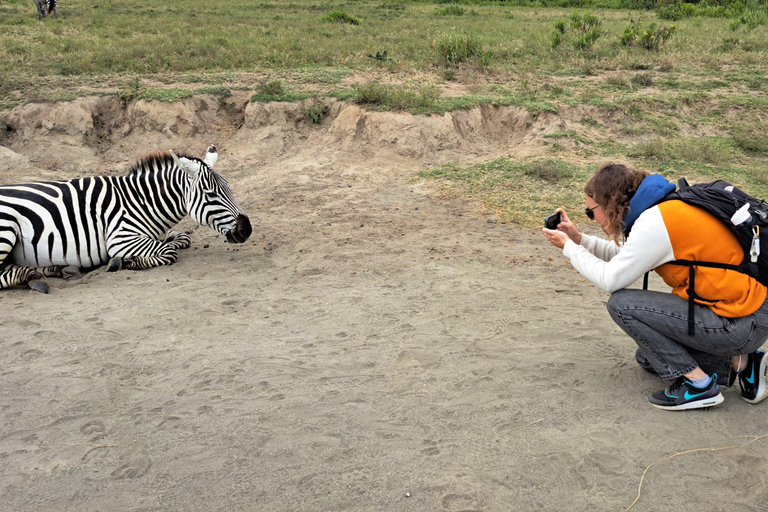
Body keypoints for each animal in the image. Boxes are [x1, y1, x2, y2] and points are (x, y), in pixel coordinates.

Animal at [0, 146, 252, 294]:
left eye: (229, 188)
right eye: (211, 194)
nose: (246, 229)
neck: (140, 201)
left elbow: (180, 238)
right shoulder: (121, 238)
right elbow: (169, 252)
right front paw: (125, 261)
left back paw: (59, 269)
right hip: (6, 228)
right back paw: (34, 277)